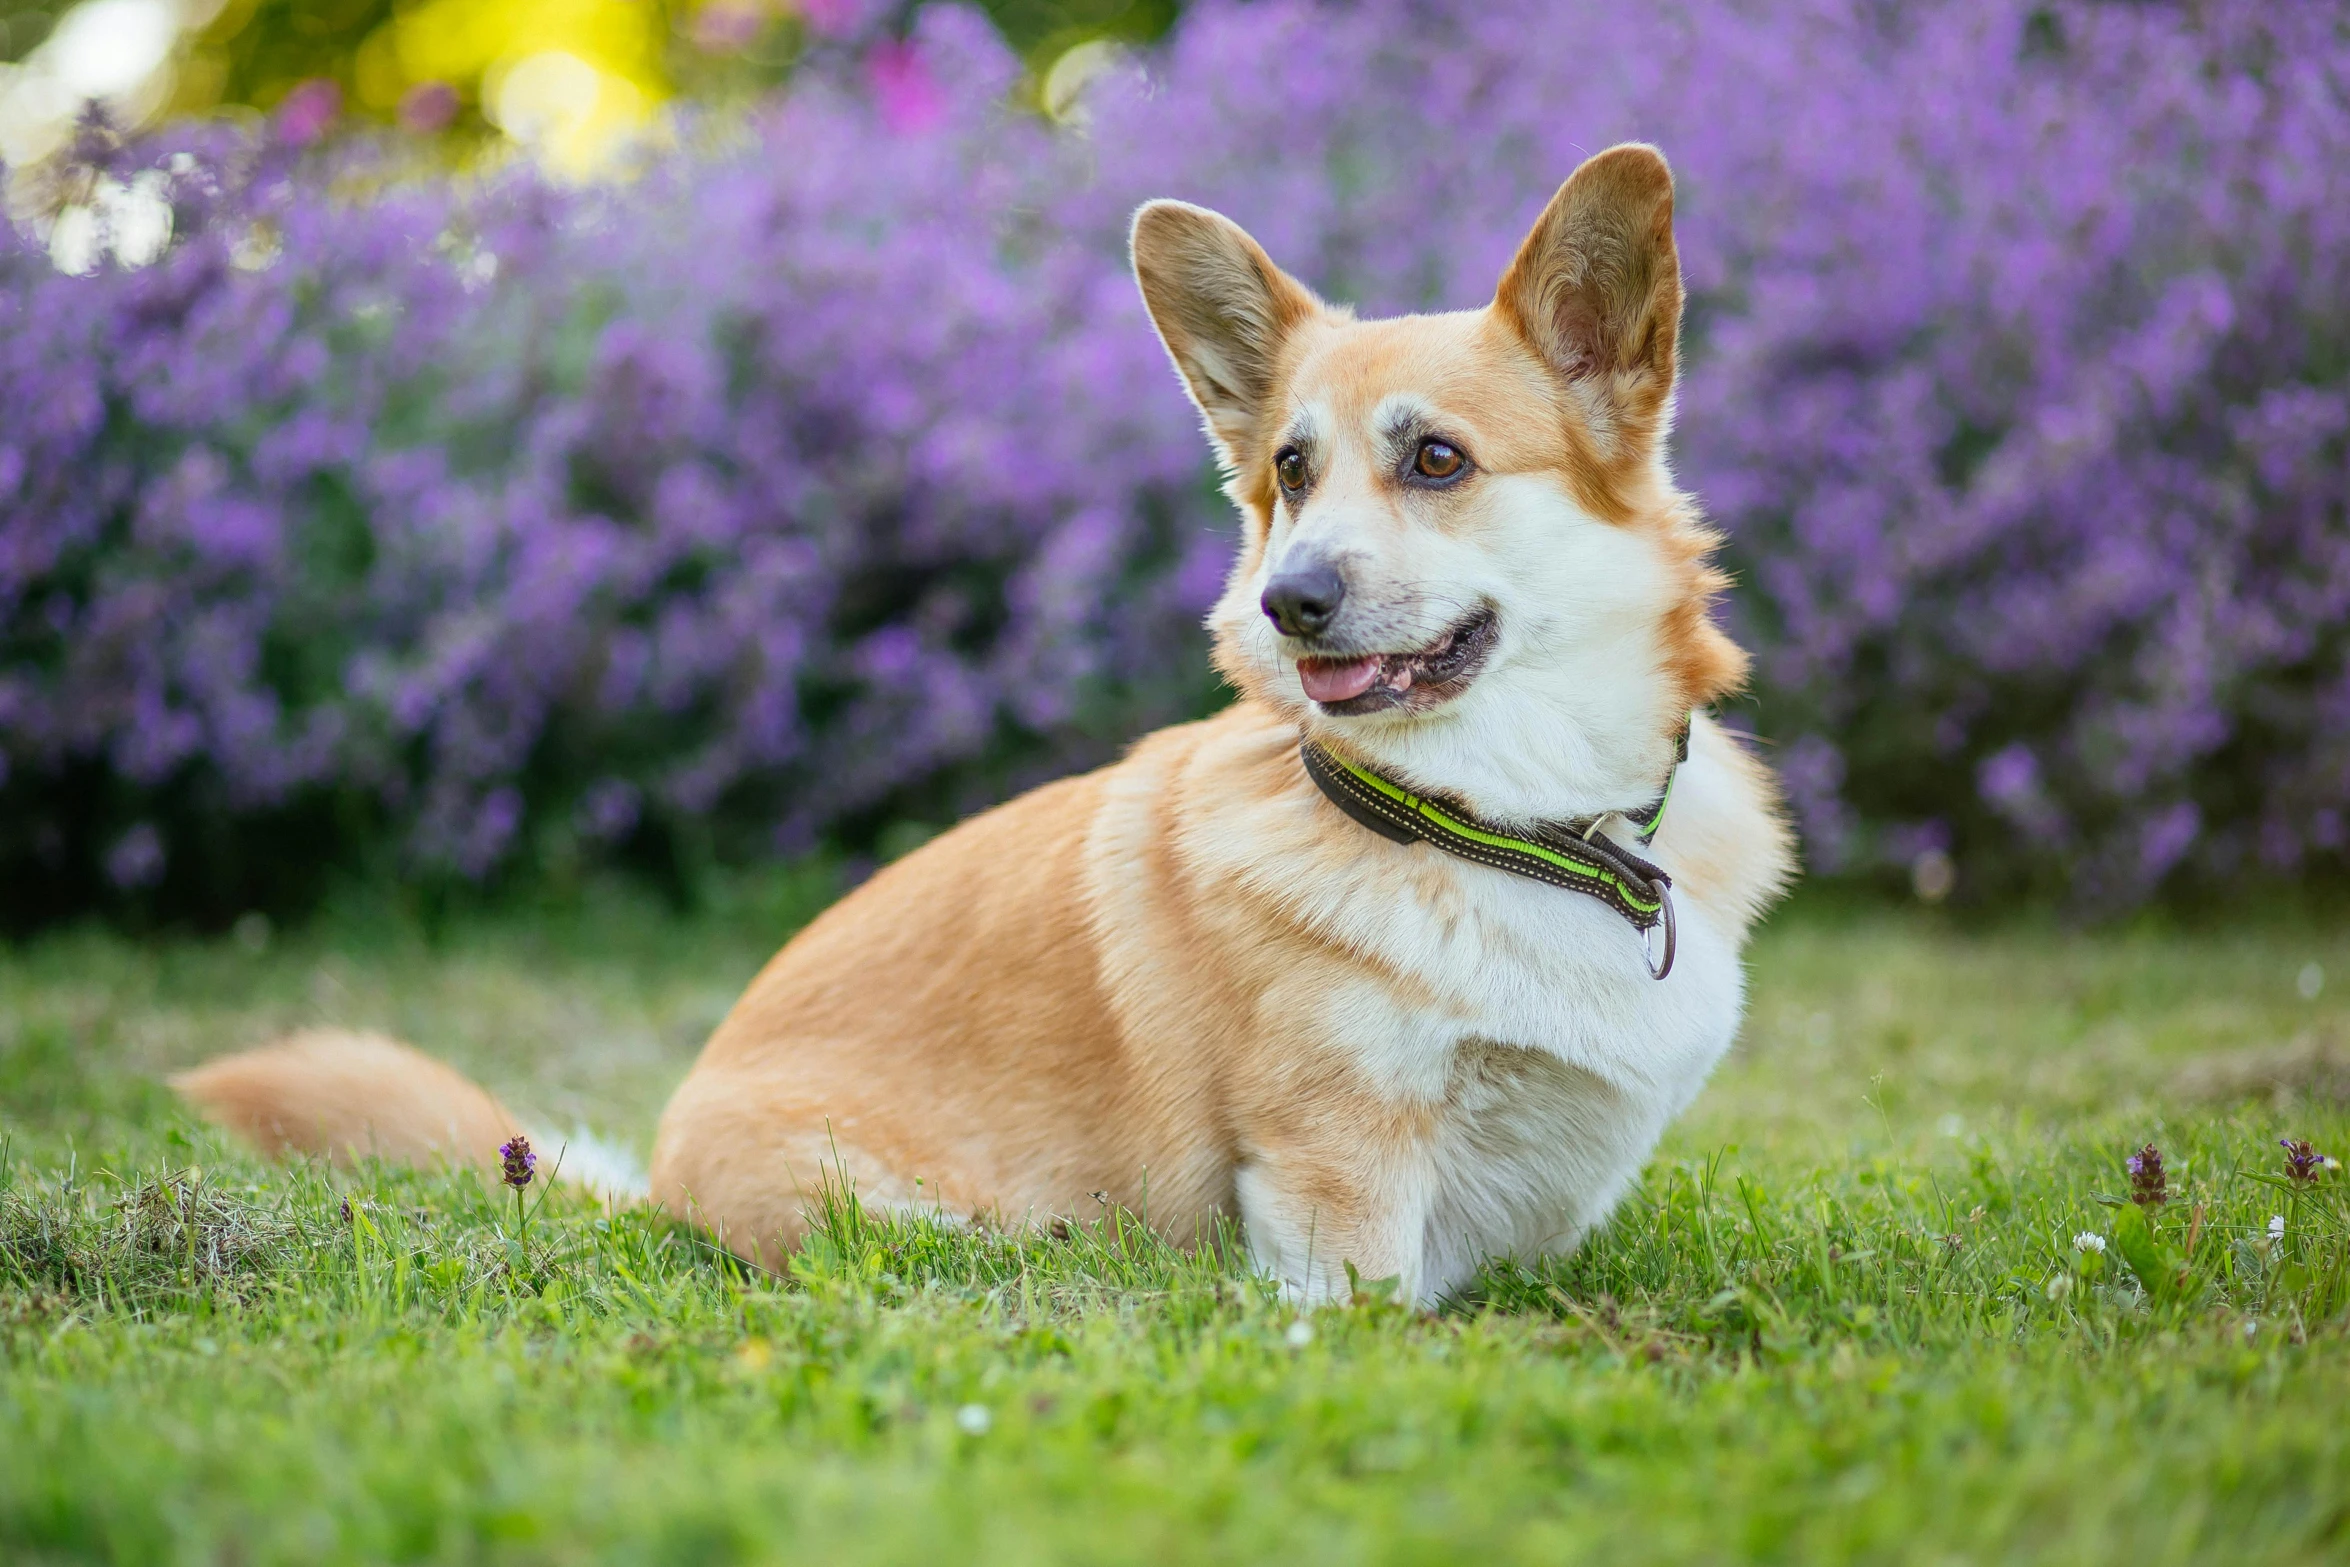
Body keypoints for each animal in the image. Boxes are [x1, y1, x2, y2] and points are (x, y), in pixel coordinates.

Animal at [178, 143, 1776, 1315]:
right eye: (1289, 473)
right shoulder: (1338, 1186)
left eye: (1436, 460)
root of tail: (653, 1179)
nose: (1288, 602)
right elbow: (1370, 1310)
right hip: (920, 1223)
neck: (1512, 828)